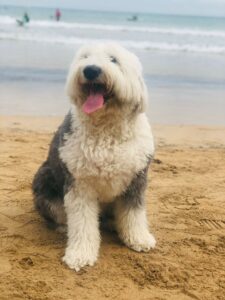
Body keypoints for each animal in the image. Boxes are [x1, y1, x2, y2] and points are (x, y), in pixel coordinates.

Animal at [31, 42, 156, 272]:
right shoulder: (80, 185)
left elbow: (133, 213)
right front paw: (80, 255)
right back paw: (63, 227)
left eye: (113, 59)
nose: (90, 70)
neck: (106, 128)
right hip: (44, 179)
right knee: (59, 215)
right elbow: (82, 223)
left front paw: (139, 239)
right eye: (85, 57)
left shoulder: (136, 179)